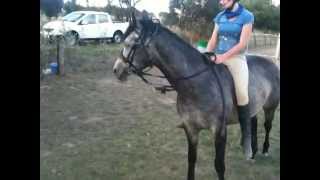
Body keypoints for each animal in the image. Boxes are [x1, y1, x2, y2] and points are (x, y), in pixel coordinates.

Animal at [112, 16, 280, 180]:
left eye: (129, 44)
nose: (116, 70)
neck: (197, 84)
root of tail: (271, 63)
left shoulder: (219, 131)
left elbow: (219, 165)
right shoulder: (191, 128)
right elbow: (191, 159)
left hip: (270, 107)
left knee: (267, 126)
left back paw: (264, 150)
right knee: (252, 122)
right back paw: (252, 151)